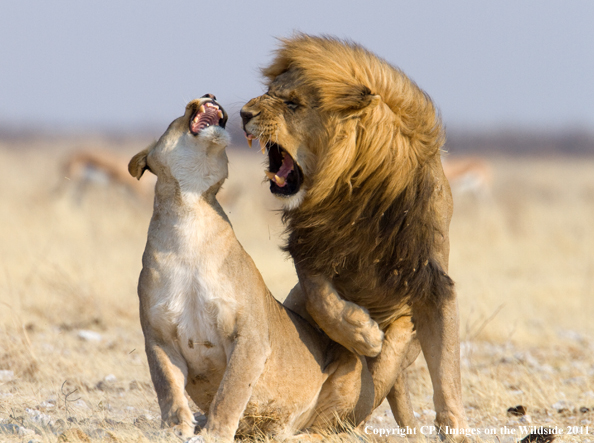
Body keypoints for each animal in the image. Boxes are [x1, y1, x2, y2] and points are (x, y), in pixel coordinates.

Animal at [129, 95, 396, 442]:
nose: (210, 95)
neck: (190, 213)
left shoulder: (250, 336)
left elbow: (231, 390)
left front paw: (214, 433)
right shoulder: (158, 337)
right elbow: (168, 388)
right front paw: (176, 429)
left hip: (348, 375)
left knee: (333, 431)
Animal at [240, 35, 468, 438]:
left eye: (292, 104)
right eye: (268, 93)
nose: (242, 114)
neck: (353, 183)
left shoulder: (431, 281)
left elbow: (447, 374)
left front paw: (457, 429)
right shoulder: (311, 249)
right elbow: (323, 300)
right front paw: (361, 332)